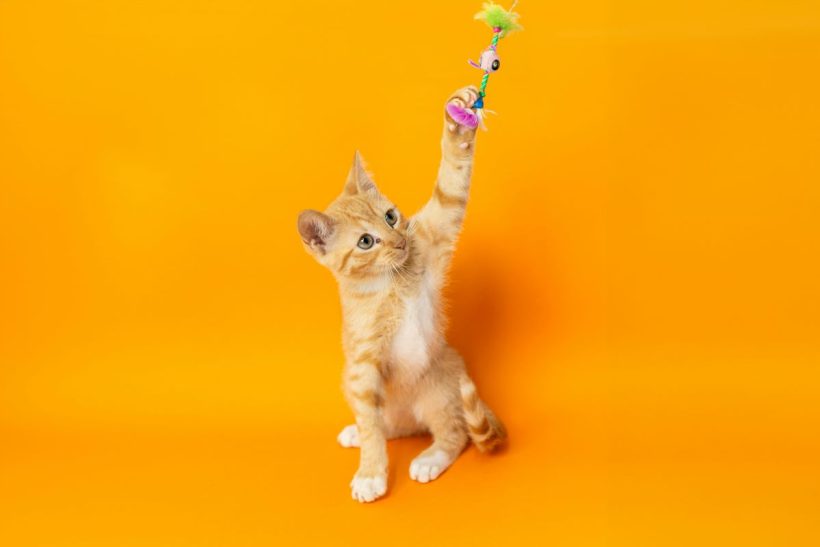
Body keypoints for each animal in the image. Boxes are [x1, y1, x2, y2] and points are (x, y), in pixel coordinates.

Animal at [297, 86, 506, 503]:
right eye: (365, 241)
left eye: (390, 217)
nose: (399, 242)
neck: (389, 283)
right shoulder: (361, 367)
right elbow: (372, 428)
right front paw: (371, 472)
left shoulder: (435, 231)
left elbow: (450, 185)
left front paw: (459, 119)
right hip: (355, 384)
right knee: (387, 425)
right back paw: (360, 433)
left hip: (440, 391)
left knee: (454, 433)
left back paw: (430, 458)